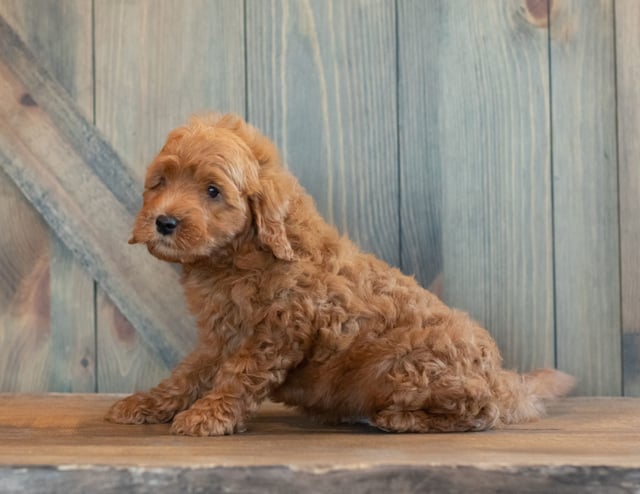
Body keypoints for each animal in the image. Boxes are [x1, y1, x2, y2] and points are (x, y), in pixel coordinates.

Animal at [105, 113, 576, 436]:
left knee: (481, 413)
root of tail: (502, 381)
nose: (164, 222)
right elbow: (190, 373)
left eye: (212, 191)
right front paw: (150, 404)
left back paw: (399, 417)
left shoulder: (280, 329)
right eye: (160, 183)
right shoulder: (220, 335)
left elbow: (239, 376)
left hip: (410, 367)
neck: (237, 258)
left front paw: (209, 414)